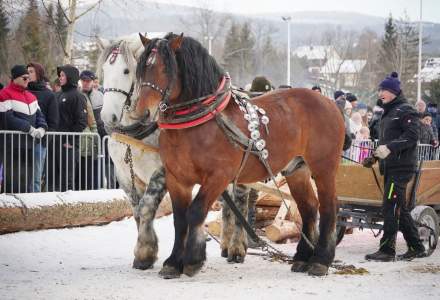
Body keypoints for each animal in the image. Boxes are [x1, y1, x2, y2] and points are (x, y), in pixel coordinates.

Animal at [132, 32, 346, 276]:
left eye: (166, 69)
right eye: (142, 68)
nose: (142, 113)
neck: (200, 122)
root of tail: (329, 103)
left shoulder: (218, 176)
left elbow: (195, 212)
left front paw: (193, 259)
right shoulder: (177, 178)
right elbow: (180, 219)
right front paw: (173, 262)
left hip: (323, 167)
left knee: (329, 207)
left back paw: (321, 260)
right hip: (296, 169)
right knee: (309, 207)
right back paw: (302, 257)